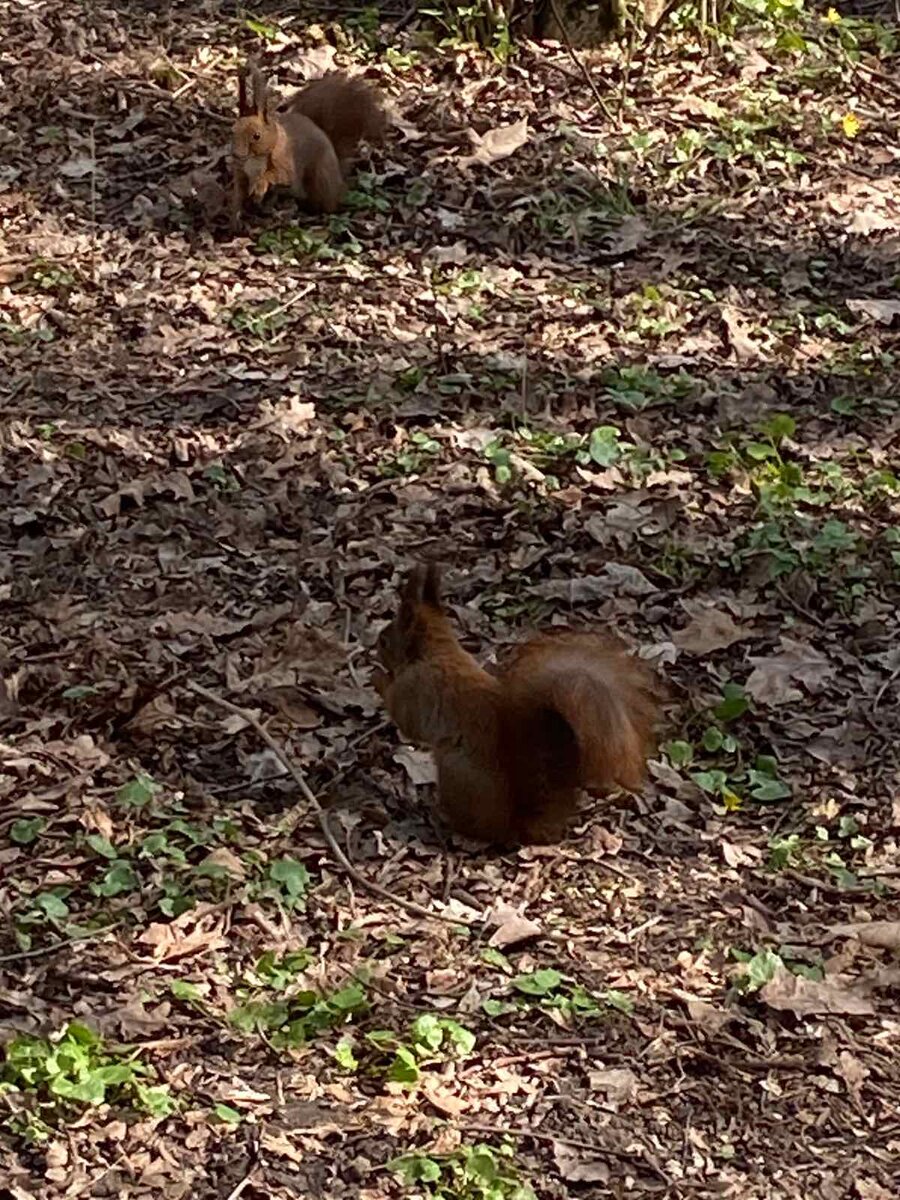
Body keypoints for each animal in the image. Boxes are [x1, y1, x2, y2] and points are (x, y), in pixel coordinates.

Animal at [230, 60, 386, 230]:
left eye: (257, 136)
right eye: (233, 130)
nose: (237, 154)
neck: (255, 159)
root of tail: (339, 179)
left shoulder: (284, 160)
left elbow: (281, 176)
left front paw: (260, 185)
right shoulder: (242, 173)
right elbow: (238, 194)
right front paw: (235, 217)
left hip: (320, 177)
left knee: (326, 204)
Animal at [374, 561, 662, 844]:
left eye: (385, 641)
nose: (375, 648)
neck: (438, 651)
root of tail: (516, 822)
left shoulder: (415, 688)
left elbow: (405, 719)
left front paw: (379, 679)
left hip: (455, 771)